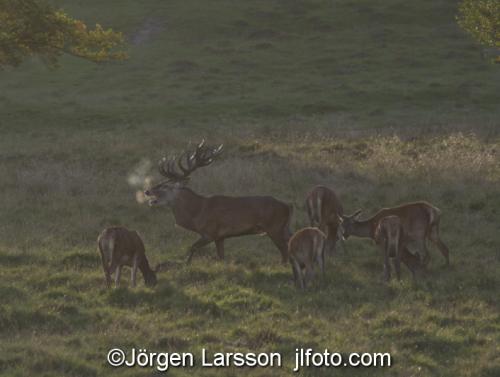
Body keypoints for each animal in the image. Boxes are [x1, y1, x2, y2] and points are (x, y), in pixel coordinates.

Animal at [144, 142, 292, 264]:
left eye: (165, 186)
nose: (147, 191)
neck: (196, 215)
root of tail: (288, 207)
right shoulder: (220, 237)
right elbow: (221, 257)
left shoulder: (210, 232)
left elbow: (192, 247)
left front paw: (186, 264)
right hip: (284, 228)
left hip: (274, 227)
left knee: (285, 251)